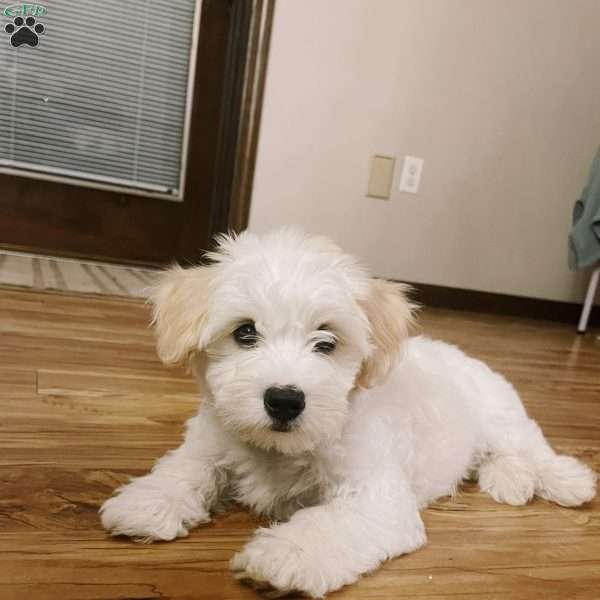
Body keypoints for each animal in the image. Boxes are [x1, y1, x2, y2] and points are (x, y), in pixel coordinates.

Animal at [101, 227, 596, 596]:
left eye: (327, 340)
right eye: (245, 332)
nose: (285, 399)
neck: (280, 449)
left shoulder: (376, 495)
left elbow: (326, 524)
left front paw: (284, 557)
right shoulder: (211, 441)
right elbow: (187, 467)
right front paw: (148, 501)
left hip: (503, 418)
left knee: (532, 450)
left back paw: (567, 481)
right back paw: (507, 481)